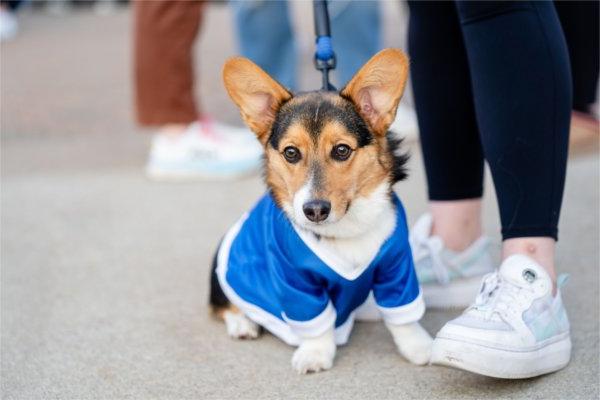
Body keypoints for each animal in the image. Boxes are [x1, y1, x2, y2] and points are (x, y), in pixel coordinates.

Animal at [210, 48, 432, 374]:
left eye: (342, 150)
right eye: (291, 153)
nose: (314, 210)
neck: (347, 226)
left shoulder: (398, 267)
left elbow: (403, 316)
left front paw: (419, 346)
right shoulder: (295, 281)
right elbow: (316, 323)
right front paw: (315, 353)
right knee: (221, 304)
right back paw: (242, 323)